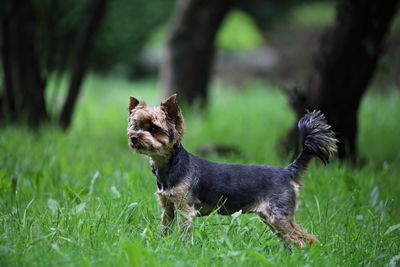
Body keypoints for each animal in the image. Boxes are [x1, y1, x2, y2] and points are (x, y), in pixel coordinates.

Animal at [126, 94, 338, 249]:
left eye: (154, 129)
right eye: (136, 126)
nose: (134, 137)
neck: (170, 166)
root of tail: (288, 171)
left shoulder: (185, 209)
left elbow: (184, 233)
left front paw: (181, 249)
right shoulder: (168, 208)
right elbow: (166, 229)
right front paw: (163, 246)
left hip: (278, 215)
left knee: (303, 240)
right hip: (271, 218)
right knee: (299, 238)